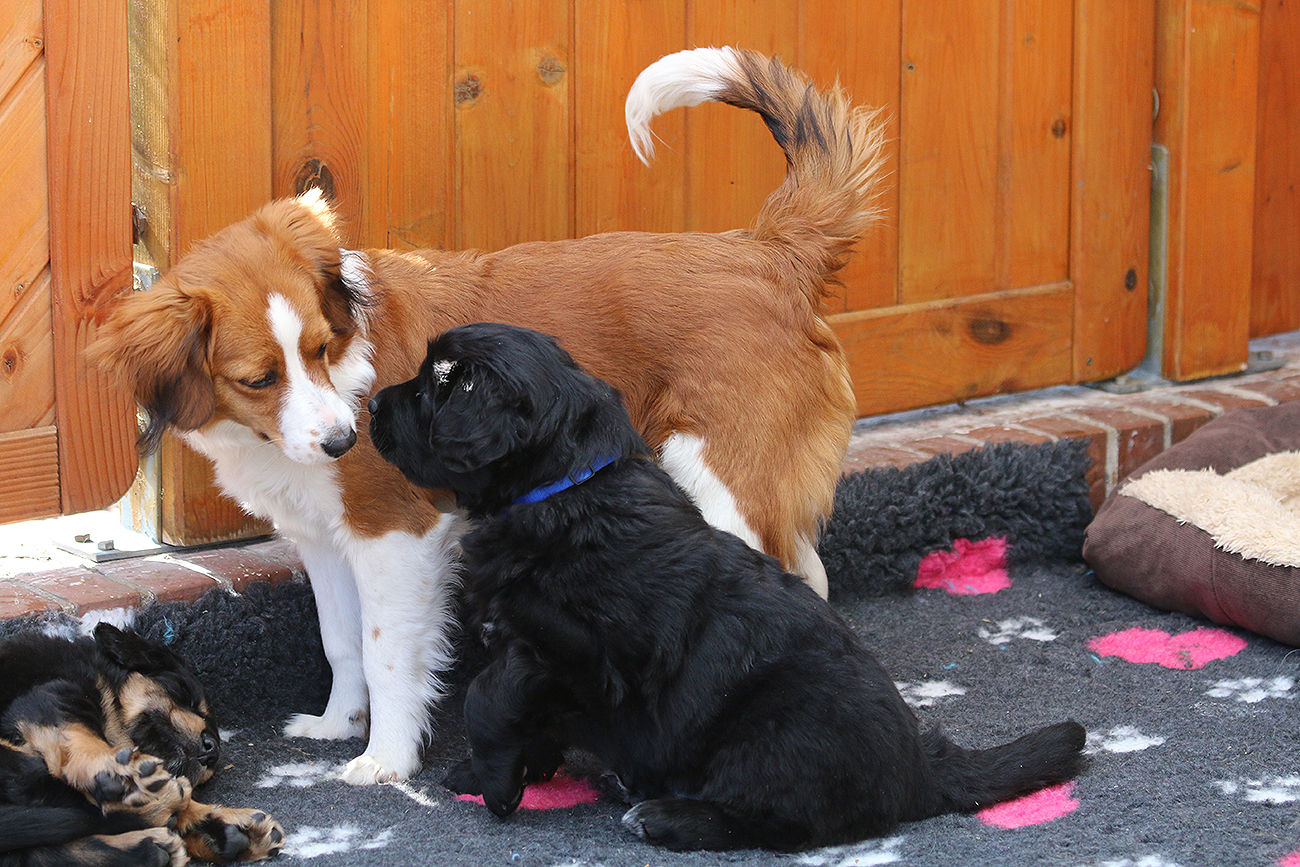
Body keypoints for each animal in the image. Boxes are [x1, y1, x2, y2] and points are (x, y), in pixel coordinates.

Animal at [84, 46, 883, 784]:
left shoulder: (394, 534)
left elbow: (384, 650)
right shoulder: (324, 537)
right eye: (259, 379)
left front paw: (386, 758)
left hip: (724, 485)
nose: (346, 440)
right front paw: (338, 724)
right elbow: (341, 643)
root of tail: (768, 253)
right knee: (811, 574)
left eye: (318, 348)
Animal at [367, 322, 1088, 852]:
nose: (371, 402)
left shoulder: (581, 654)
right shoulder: (536, 652)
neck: (564, 490)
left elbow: (489, 697)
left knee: (786, 820)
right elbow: (519, 711)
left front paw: (496, 785)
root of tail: (919, 765)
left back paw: (665, 816)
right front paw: (497, 771)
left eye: (437, 387)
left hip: (776, 727)